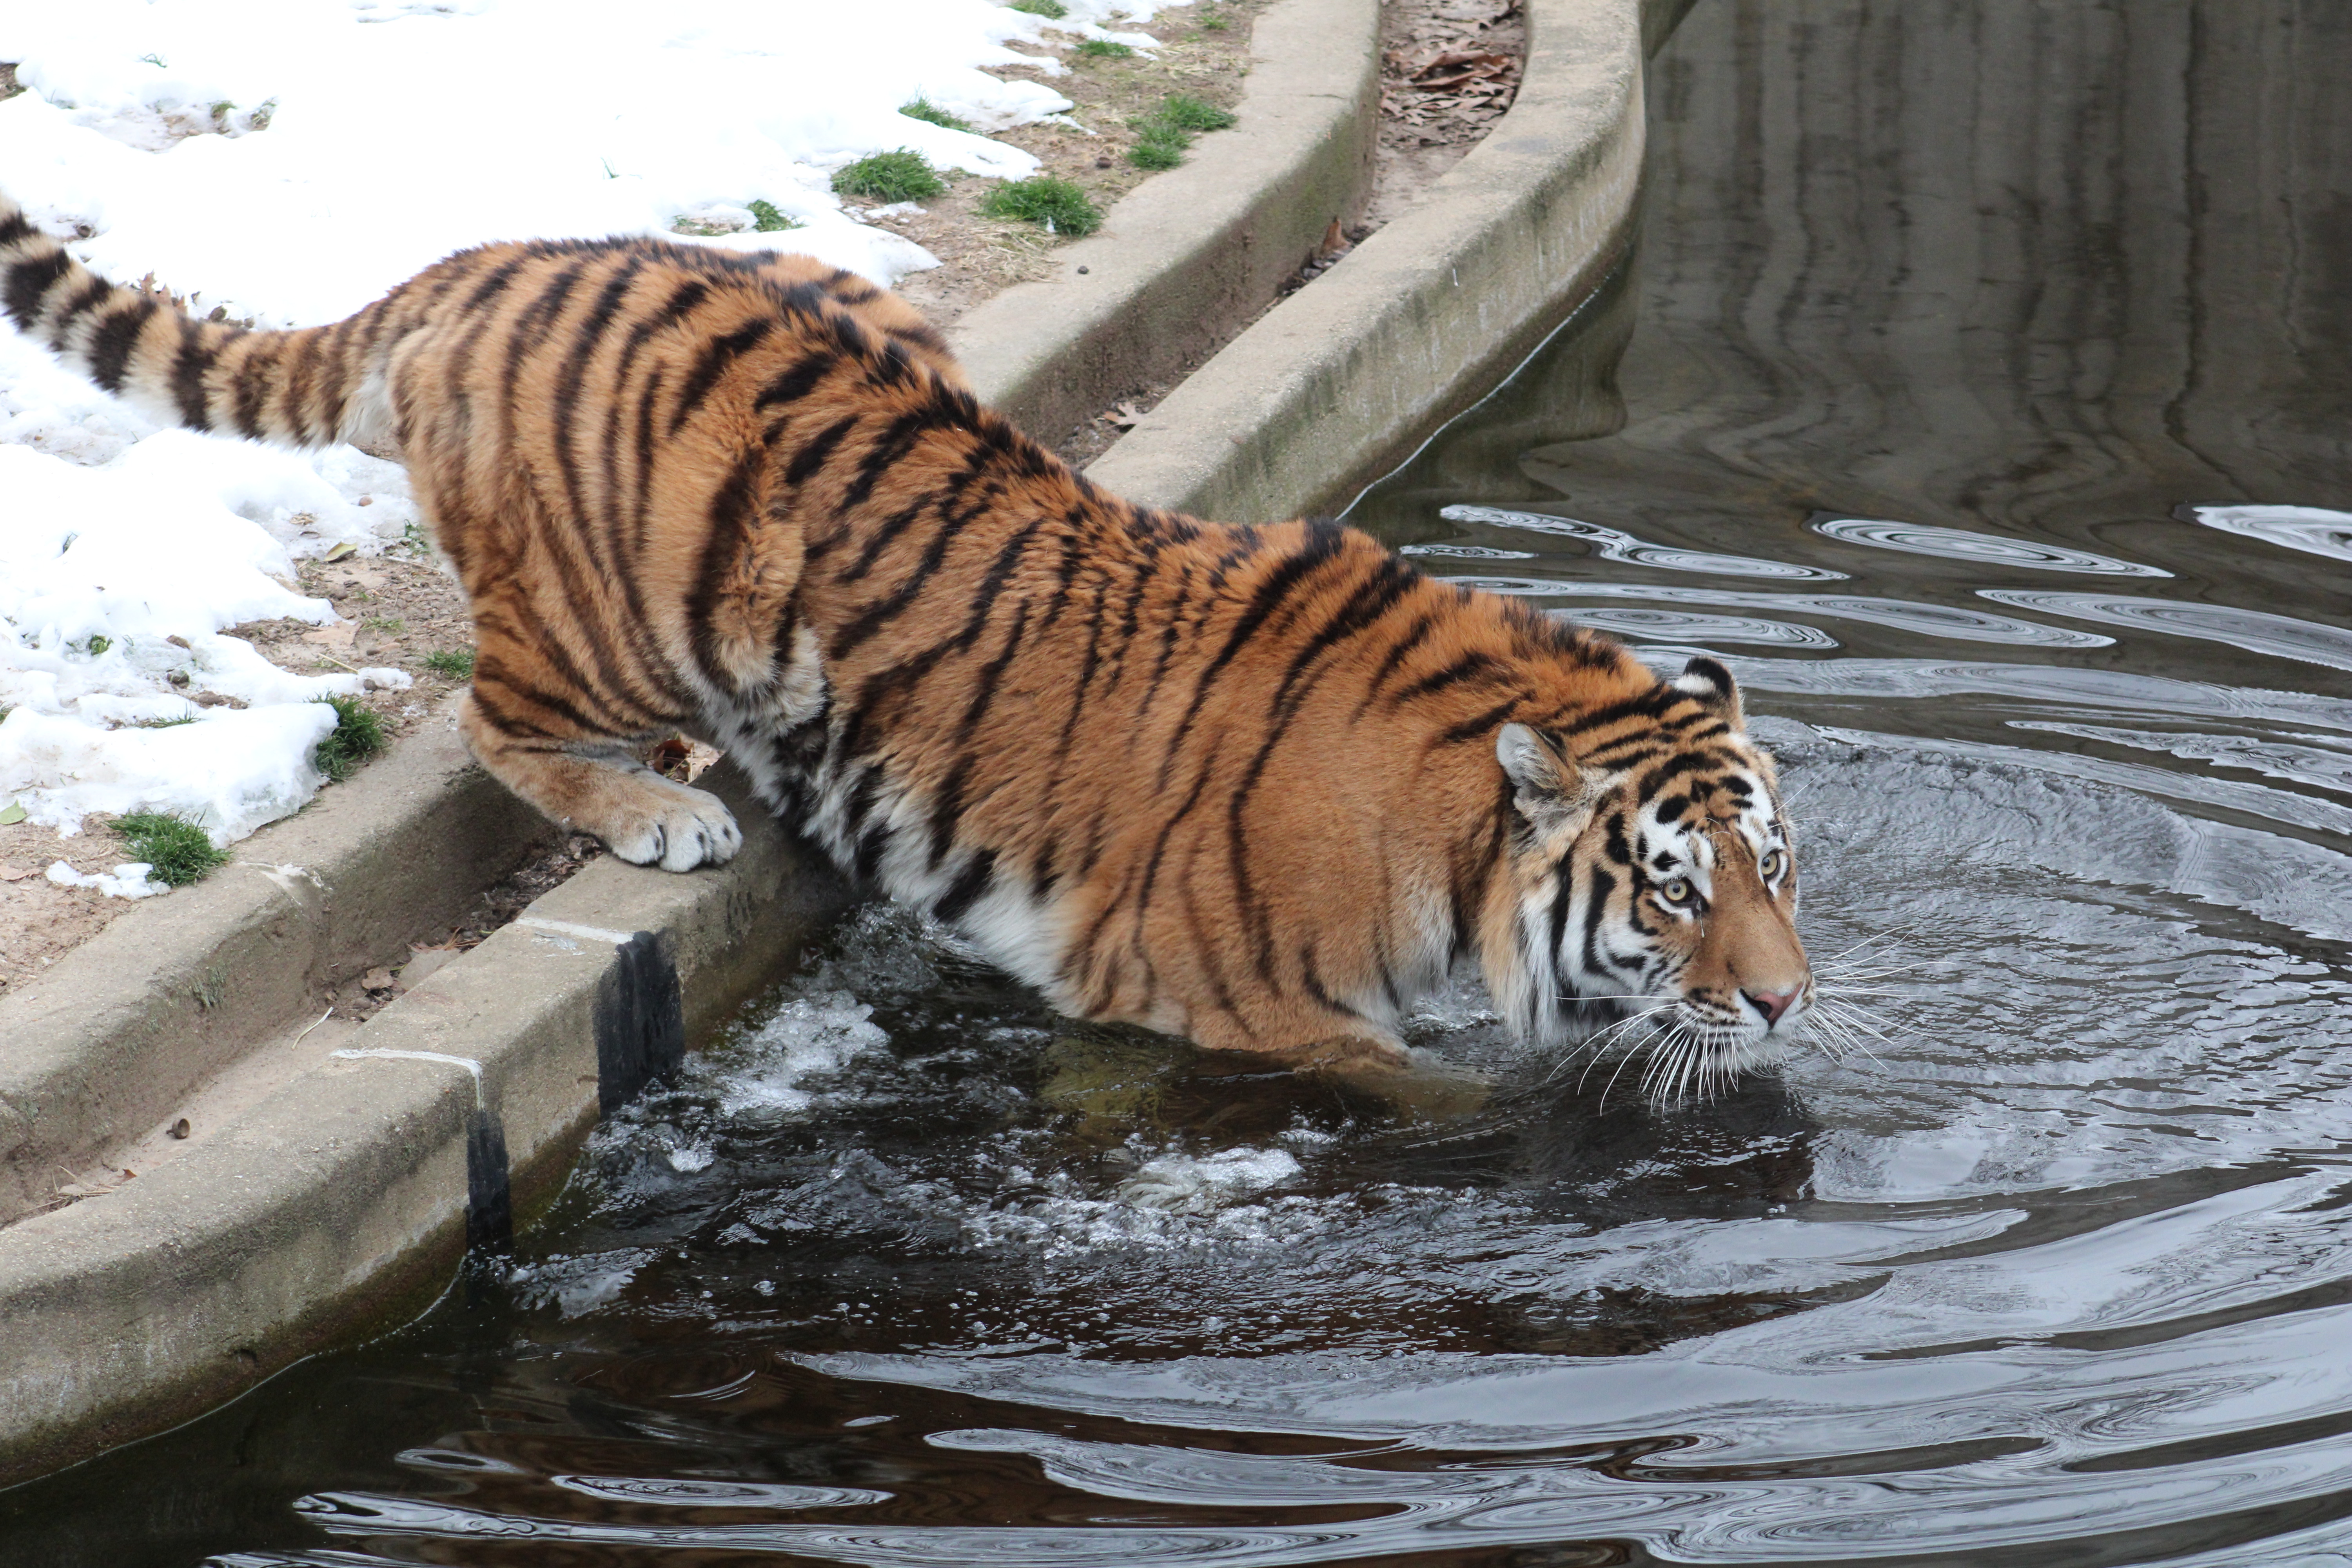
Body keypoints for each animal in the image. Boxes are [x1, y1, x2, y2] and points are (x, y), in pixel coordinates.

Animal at [0, 190, 1816, 1086]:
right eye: (1673, 889)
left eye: (1776, 868)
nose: (1794, 1004)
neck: (1451, 846)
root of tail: (489, 256)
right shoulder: (1225, 1009)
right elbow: (1452, 1097)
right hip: (617, 605)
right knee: (488, 718)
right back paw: (662, 801)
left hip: (875, 308)